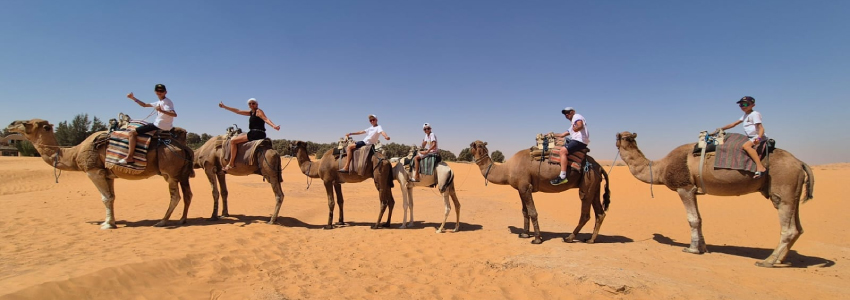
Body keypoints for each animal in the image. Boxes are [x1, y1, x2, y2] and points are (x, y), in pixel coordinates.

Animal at [7, 118, 194, 229]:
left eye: (30, 123)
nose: (11, 124)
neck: (74, 153)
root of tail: (183, 147)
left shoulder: (93, 171)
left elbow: (105, 198)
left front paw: (106, 225)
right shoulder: (108, 175)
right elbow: (112, 197)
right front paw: (111, 221)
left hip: (169, 172)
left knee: (175, 196)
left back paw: (162, 221)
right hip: (182, 173)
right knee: (187, 194)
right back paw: (181, 220)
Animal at [464, 141, 608, 244]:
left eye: (476, 145)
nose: (470, 145)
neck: (507, 169)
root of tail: (599, 166)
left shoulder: (525, 187)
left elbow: (532, 212)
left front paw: (537, 239)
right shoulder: (521, 188)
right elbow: (525, 211)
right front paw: (524, 234)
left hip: (587, 182)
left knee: (585, 213)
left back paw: (569, 238)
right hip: (595, 185)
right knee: (600, 213)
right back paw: (591, 239)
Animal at [612, 131, 812, 268]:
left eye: (620, 137)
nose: (619, 138)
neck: (659, 168)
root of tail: (800, 162)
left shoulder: (684, 187)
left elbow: (692, 220)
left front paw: (691, 249)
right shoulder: (694, 190)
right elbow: (700, 219)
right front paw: (702, 248)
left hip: (783, 188)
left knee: (789, 228)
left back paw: (768, 261)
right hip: (792, 192)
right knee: (799, 228)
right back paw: (780, 259)